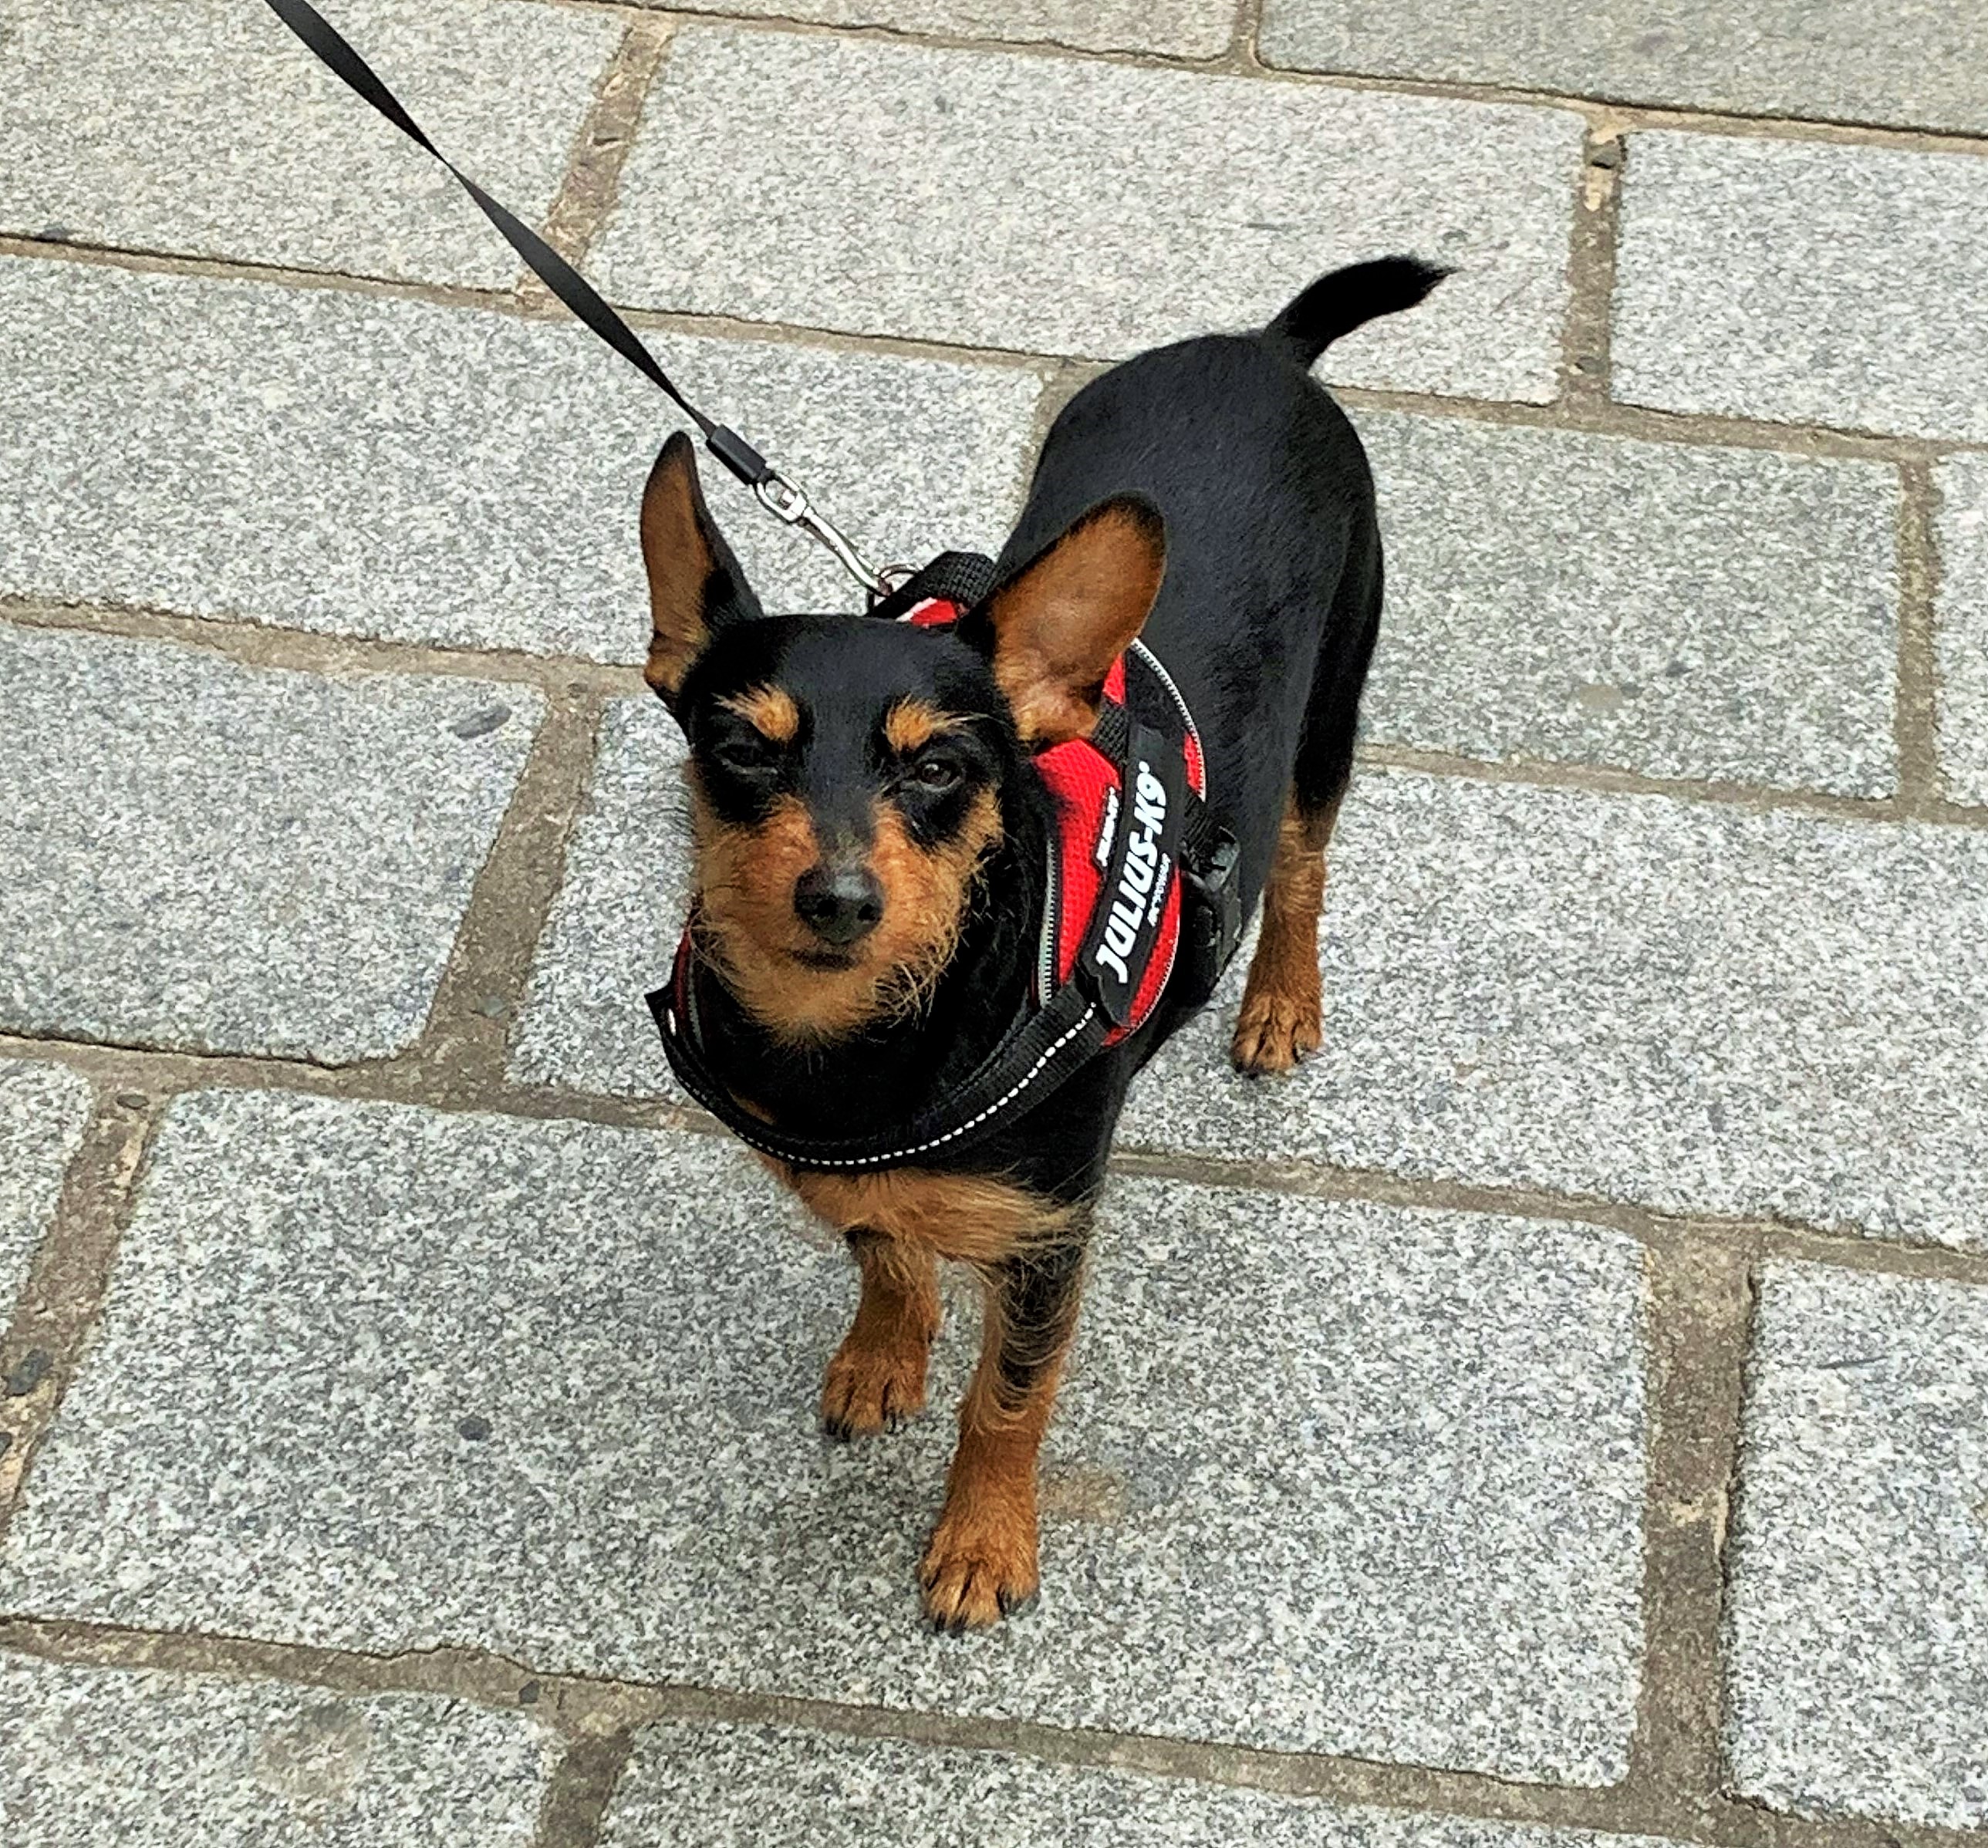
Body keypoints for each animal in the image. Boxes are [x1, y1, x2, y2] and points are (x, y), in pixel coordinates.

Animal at [636, 252, 1447, 1621]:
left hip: (1332, 711)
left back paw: (1281, 1001)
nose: (838, 899)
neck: (855, 1044)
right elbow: (885, 1250)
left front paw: (981, 1543)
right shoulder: (857, 1170)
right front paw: (884, 1355)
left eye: (940, 768)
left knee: (1302, 864)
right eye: (740, 749)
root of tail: (1265, 347)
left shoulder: (1048, 1238)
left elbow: (1010, 1400)